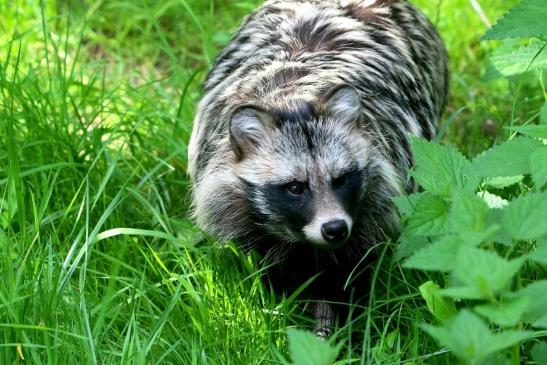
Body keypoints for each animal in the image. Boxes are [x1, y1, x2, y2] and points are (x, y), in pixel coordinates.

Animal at [188, 0, 450, 332]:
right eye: (294, 187)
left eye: (341, 179)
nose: (335, 229)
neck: (293, 100)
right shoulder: (234, 208)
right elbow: (269, 272)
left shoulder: (377, 201)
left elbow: (351, 274)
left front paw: (342, 324)